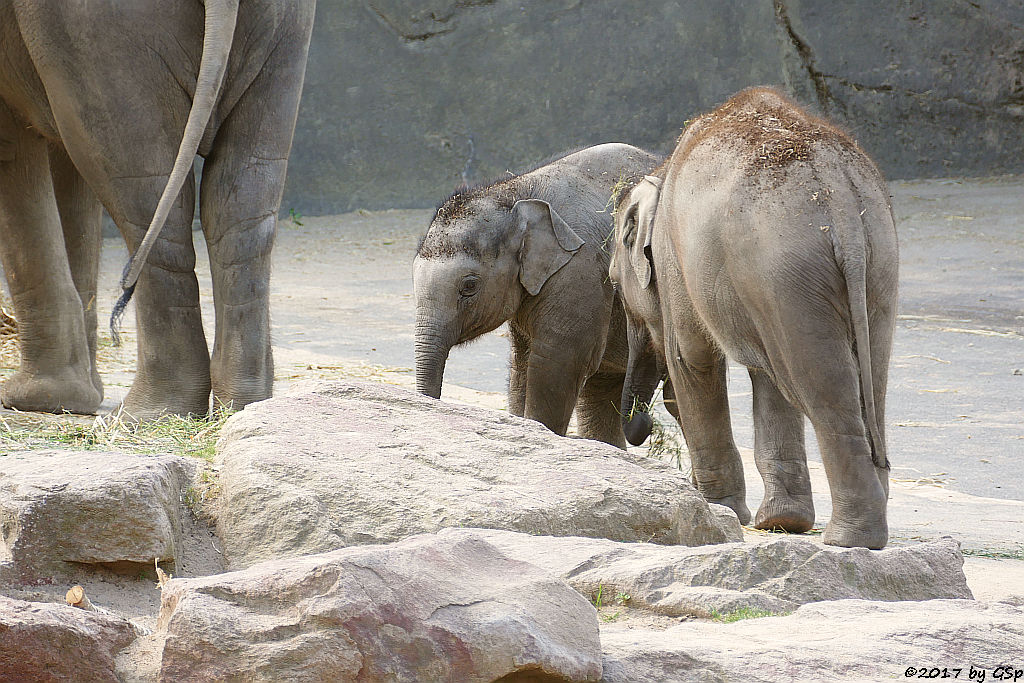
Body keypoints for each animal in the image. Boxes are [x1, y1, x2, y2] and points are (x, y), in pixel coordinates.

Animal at [610, 89, 901, 548]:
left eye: (615, 286)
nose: (644, 427)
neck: (661, 170)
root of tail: (839, 199)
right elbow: (767, 381)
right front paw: (778, 523)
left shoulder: (677, 262)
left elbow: (692, 360)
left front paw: (721, 511)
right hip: (871, 267)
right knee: (861, 381)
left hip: (784, 269)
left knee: (823, 391)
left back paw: (848, 540)